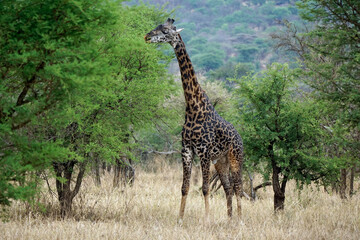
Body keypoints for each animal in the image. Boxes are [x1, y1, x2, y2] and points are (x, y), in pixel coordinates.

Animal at [145, 17, 243, 222]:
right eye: (157, 26)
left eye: (165, 30)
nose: (147, 36)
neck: (192, 106)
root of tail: (240, 137)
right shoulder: (187, 150)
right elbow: (185, 187)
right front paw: (180, 218)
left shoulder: (204, 151)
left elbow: (205, 188)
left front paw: (207, 219)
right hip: (220, 161)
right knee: (228, 188)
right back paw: (229, 219)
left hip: (236, 157)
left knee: (239, 187)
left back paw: (239, 220)